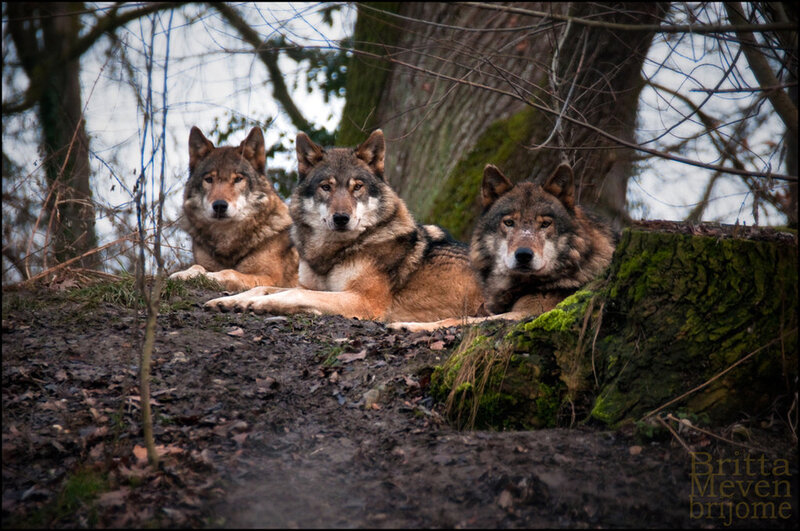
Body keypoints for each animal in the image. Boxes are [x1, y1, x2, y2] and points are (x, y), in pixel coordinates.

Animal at [169, 126, 298, 291]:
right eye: (209, 179)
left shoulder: (271, 279)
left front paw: (211, 276)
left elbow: (230, 272)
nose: (219, 205)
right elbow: (197, 266)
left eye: (238, 179)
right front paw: (185, 273)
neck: (227, 241)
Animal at [204, 130, 483, 321]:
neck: (331, 253)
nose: (341, 218)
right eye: (326, 187)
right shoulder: (306, 283)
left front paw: (259, 304)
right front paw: (232, 301)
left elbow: (292, 294)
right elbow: (264, 287)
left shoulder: (363, 301)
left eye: (356, 187)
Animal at [390, 162, 615, 331]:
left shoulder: (530, 313)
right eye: (509, 222)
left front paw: (406, 325)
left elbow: (457, 319)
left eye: (545, 224)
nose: (523, 255)